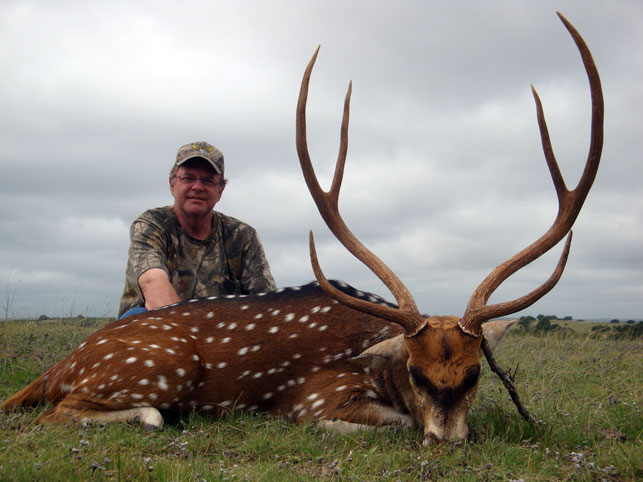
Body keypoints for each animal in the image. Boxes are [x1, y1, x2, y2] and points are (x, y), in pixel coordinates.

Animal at [2, 13, 600, 444]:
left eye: (474, 374)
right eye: (417, 372)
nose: (447, 441)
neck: (374, 356)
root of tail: (61, 363)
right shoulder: (314, 395)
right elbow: (391, 420)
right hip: (158, 367)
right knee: (59, 415)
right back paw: (150, 415)